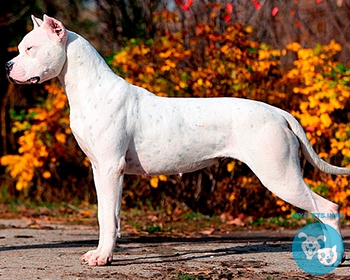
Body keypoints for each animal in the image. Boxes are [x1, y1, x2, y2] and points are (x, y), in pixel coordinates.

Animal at [6, 14, 350, 264]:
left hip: (279, 175)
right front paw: (106, 251)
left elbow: (106, 216)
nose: (7, 65)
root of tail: (279, 113)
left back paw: (332, 256)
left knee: (328, 207)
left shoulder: (110, 168)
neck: (90, 88)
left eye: (30, 49)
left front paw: (102, 257)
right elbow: (109, 215)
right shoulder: (101, 169)